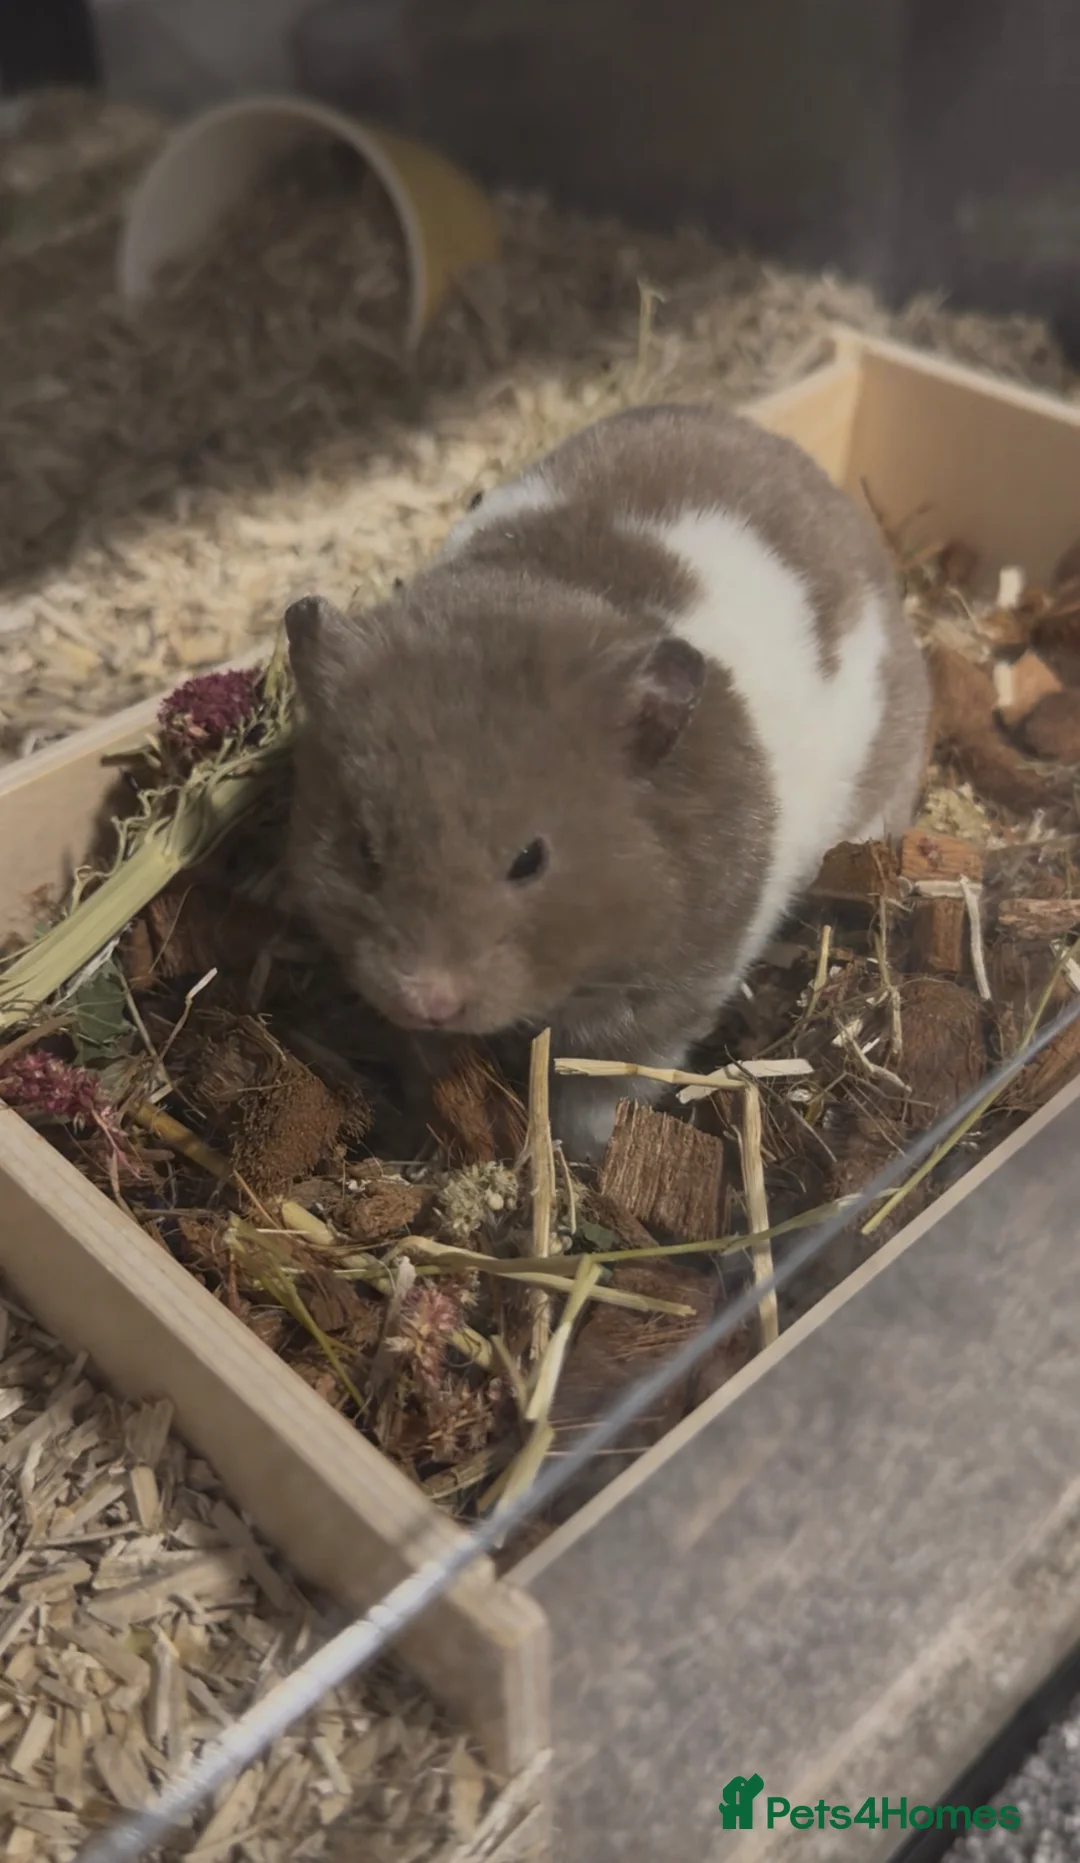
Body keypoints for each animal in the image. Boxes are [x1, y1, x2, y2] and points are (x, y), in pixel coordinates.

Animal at [284, 403, 931, 1163]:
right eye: (364, 849)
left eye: (529, 860)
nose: (428, 999)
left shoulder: (671, 989)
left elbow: (604, 1076)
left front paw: (585, 1154)